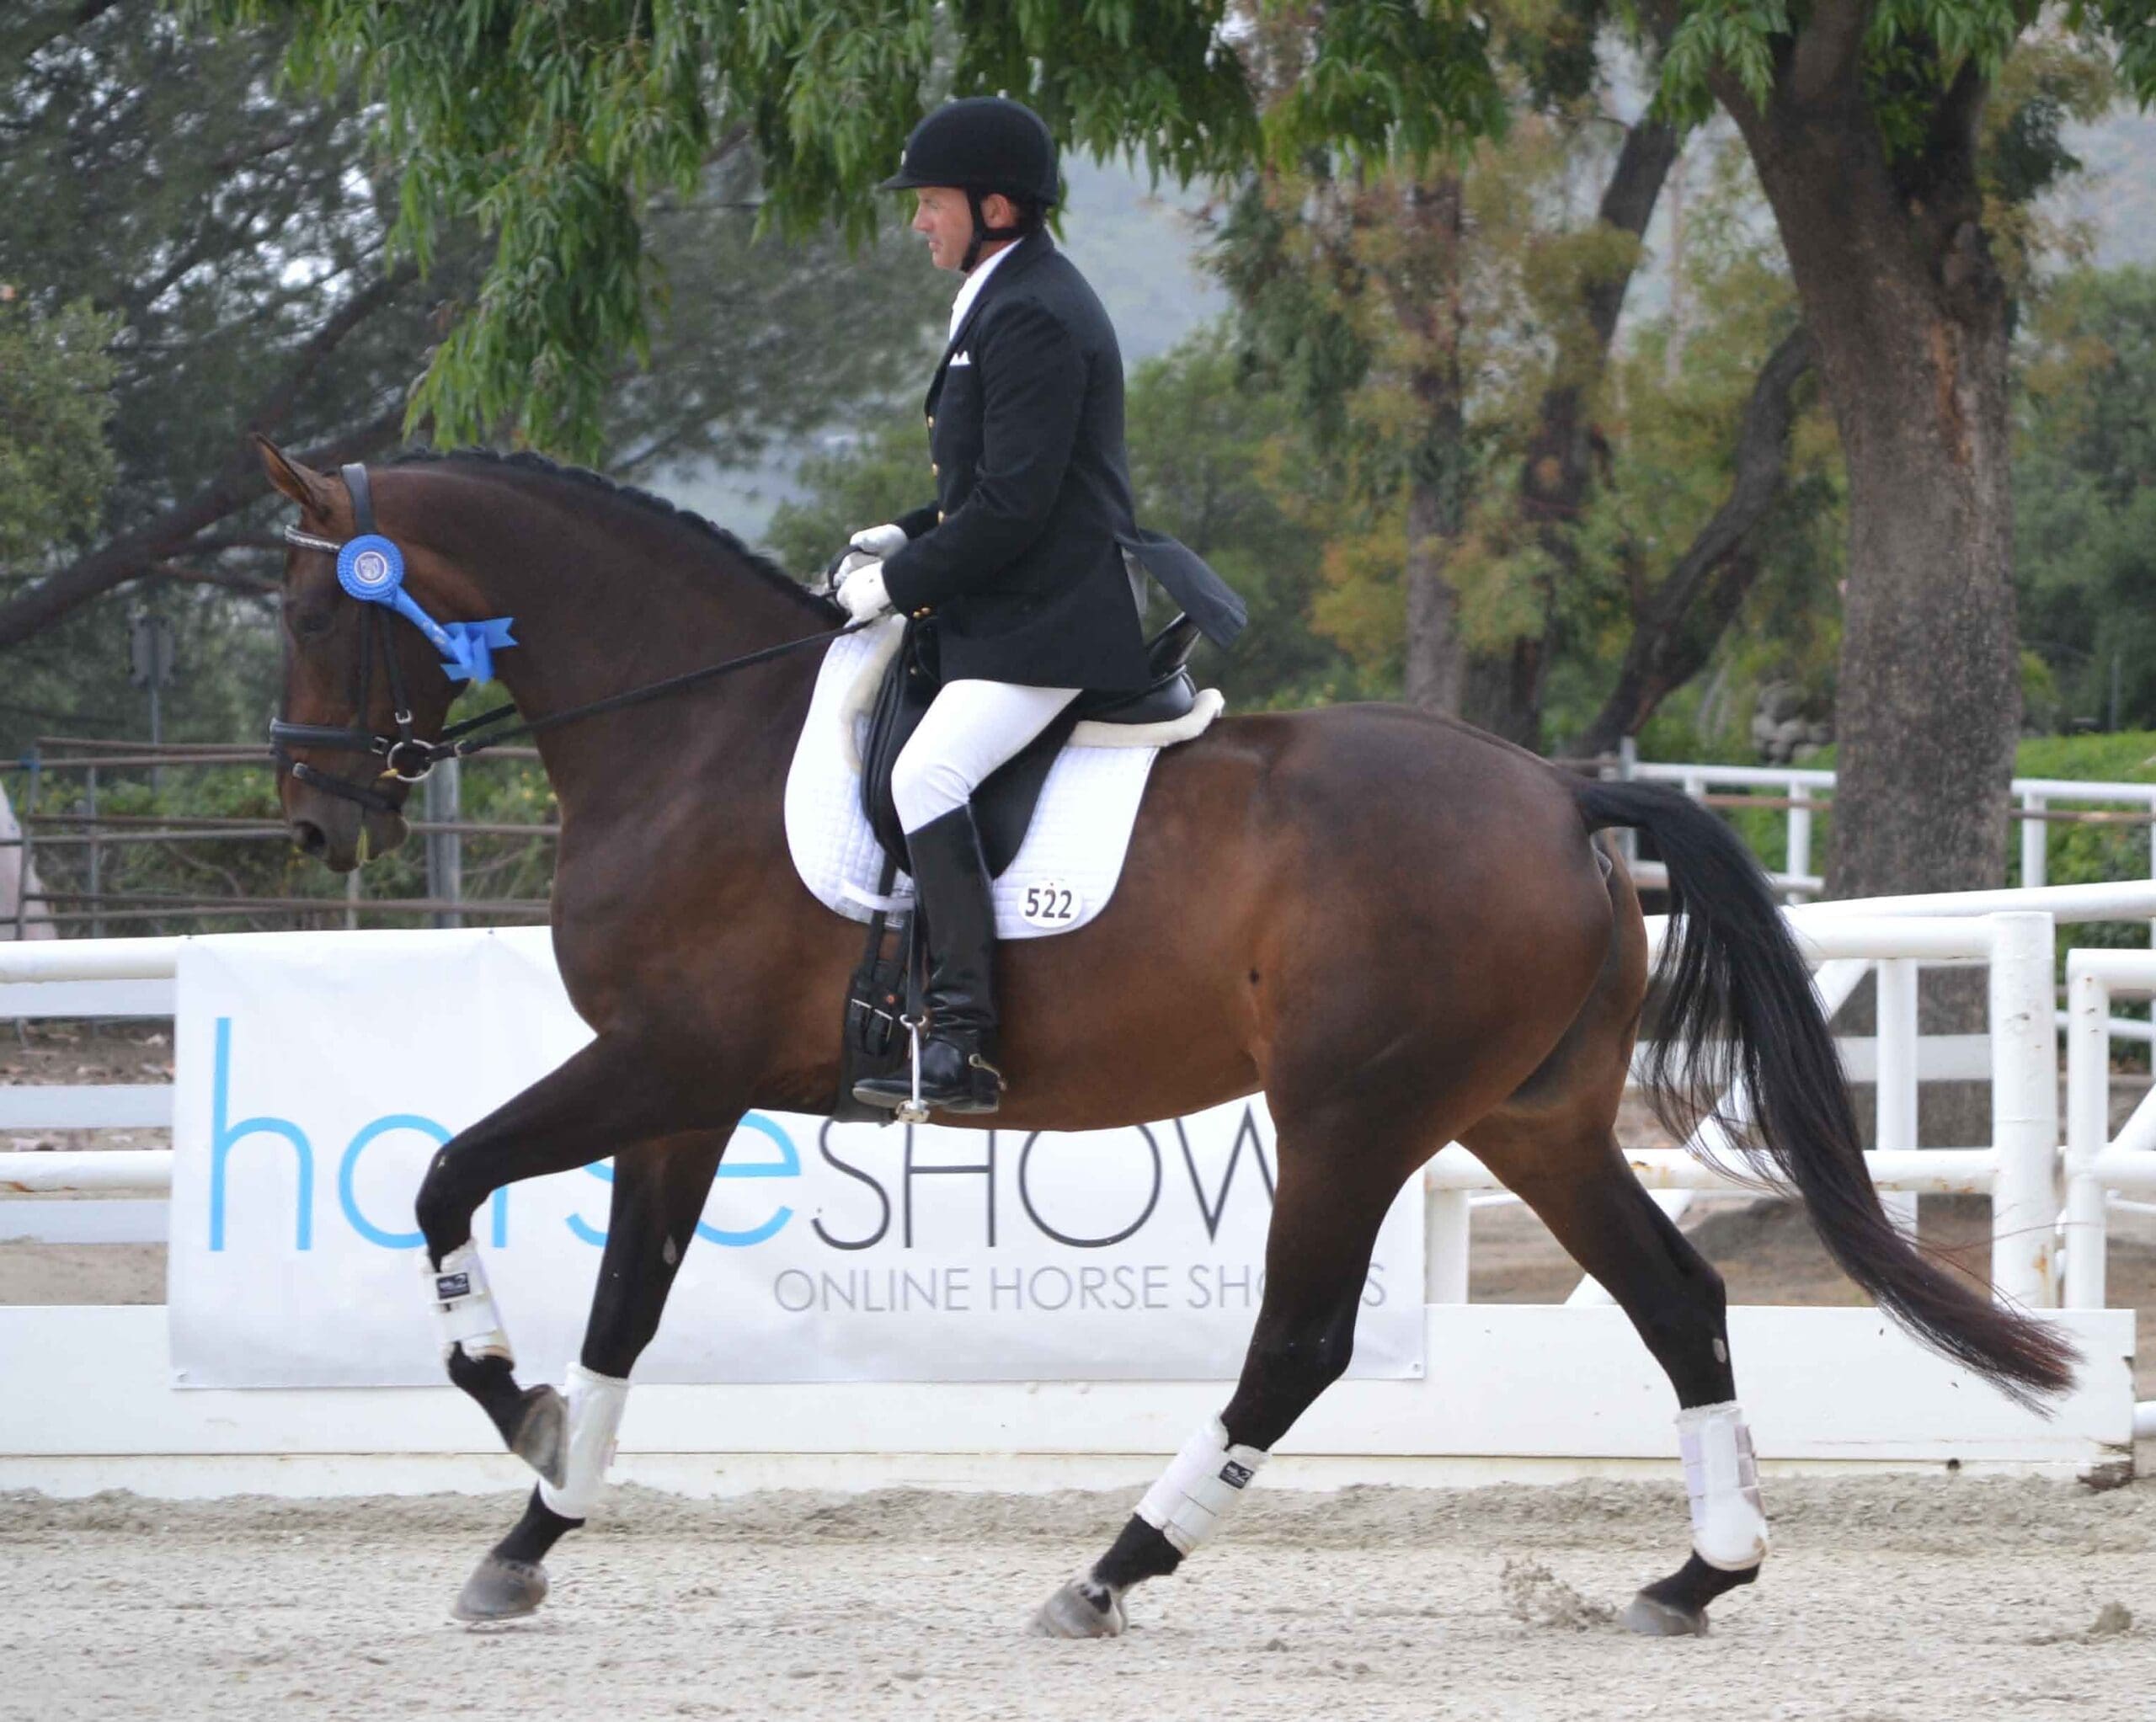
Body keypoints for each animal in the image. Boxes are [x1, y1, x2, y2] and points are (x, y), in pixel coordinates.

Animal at [256, 437, 2075, 1640]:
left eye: (309, 612)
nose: (316, 821)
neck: (694, 731)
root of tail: (1561, 791)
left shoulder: (662, 1061)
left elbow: (441, 1180)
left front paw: (512, 1407)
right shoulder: (685, 1097)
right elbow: (623, 1311)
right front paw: (533, 1525)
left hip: (1356, 1114)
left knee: (1301, 1342)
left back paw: (1113, 1564)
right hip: (1526, 1121)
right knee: (1678, 1298)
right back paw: (1697, 1572)